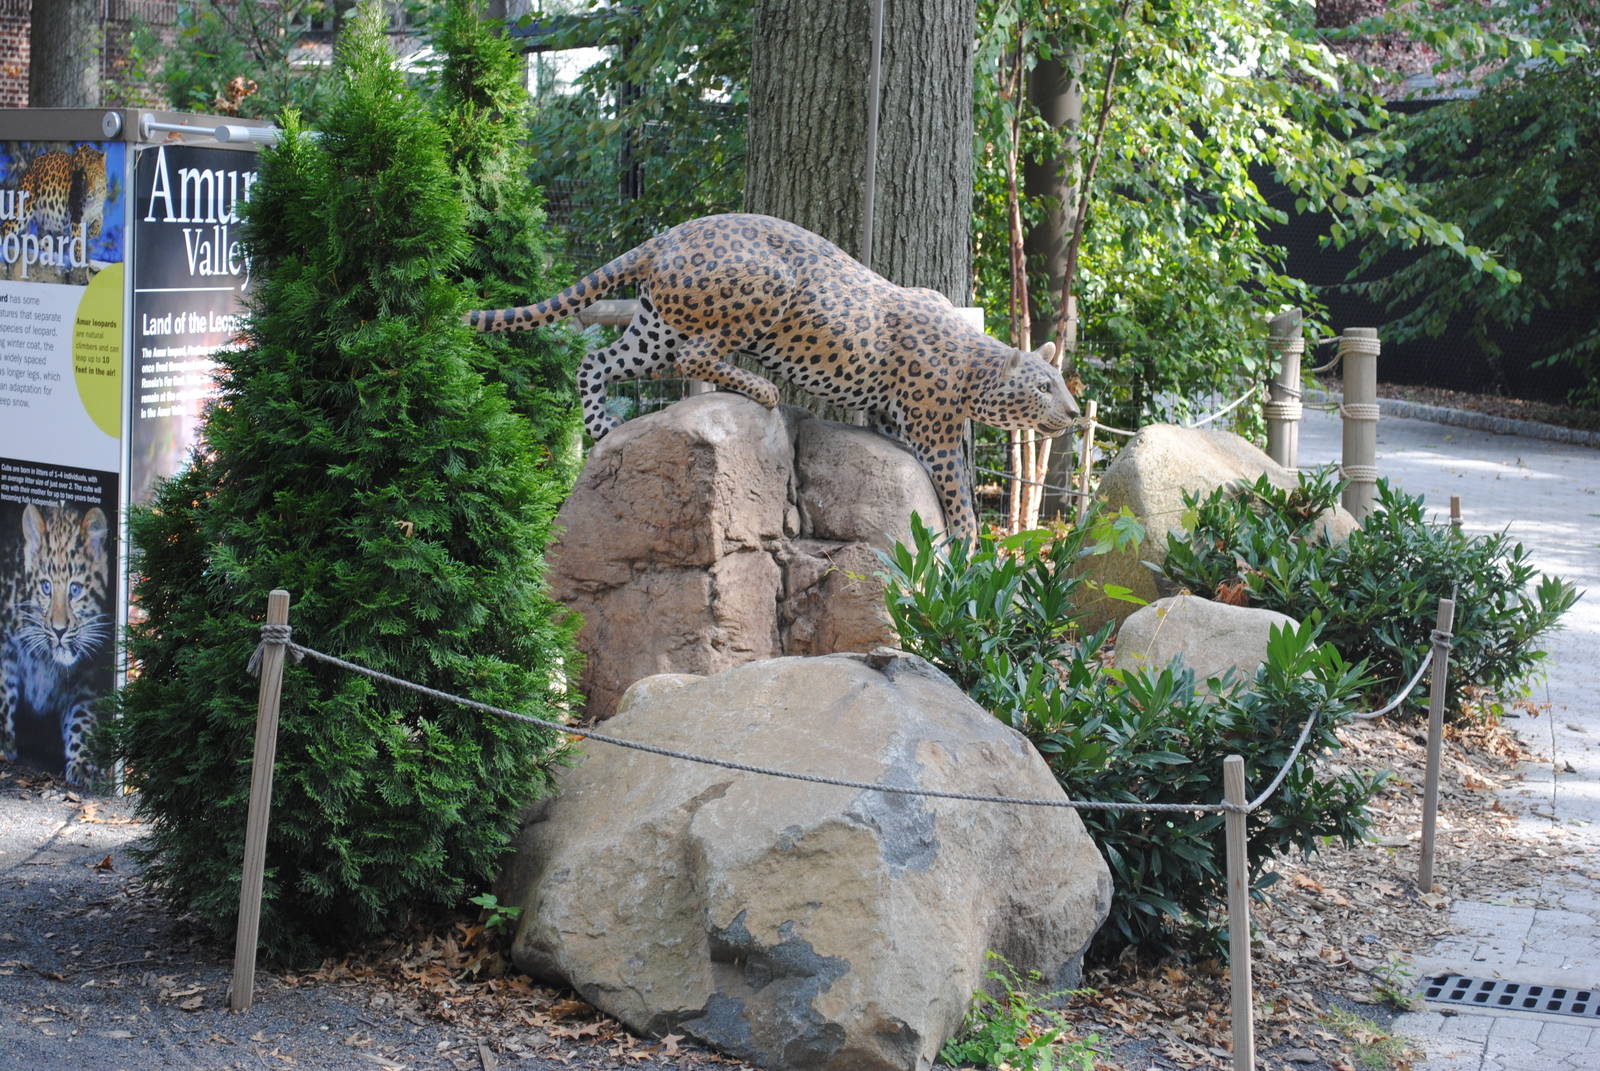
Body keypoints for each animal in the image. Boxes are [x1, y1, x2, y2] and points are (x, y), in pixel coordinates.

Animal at [0, 503, 111, 787]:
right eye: (46, 587)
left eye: (75, 589)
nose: (59, 630)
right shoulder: (5, 646)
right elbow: (3, 690)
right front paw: (3, 742)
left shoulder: (88, 675)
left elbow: (83, 716)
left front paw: (85, 762)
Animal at [465, 213, 1079, 538]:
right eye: (1043, 385)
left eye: (1060, 385)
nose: (1074, 412)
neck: (978, 365)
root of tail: (670, 233)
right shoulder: (937, 435)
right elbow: (962, 496)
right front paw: (969, 549)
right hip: (764, 289)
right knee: (698, 357)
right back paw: (761, 388)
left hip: (656, 328)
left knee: (596, 360)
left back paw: (600, 428)